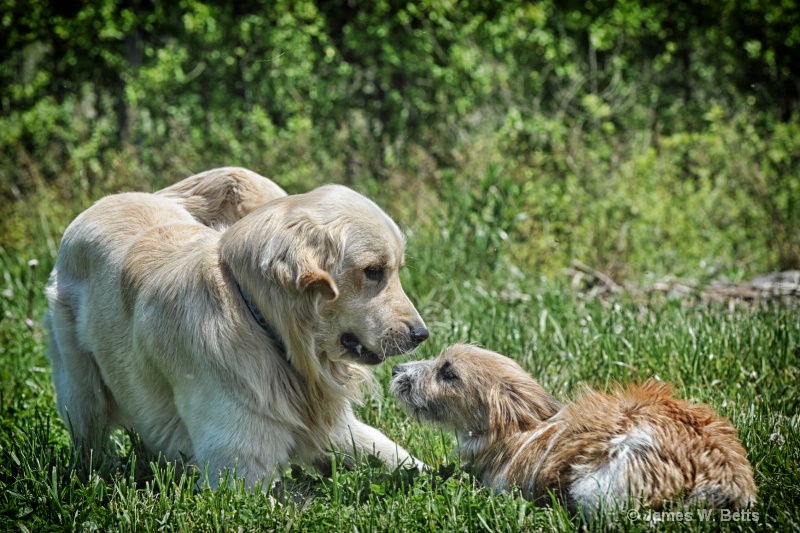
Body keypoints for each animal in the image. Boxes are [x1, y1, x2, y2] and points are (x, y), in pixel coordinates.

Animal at [46, 171, 428, 486]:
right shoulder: (236, 472)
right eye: (373, 271)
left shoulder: (339, 429)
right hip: (81, 395)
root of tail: (113, 197)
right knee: (90, 444)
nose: (422, 335)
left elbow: (398, 456)